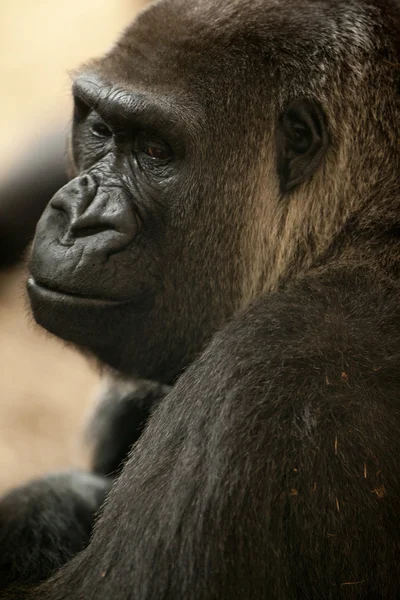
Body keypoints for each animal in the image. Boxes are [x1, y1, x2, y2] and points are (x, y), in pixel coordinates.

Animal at [0, 0, 400, 596]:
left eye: (155, 150)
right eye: (100, 128)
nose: (77, 218)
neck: (358, 221)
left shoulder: (256, 375)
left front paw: (53, 502)